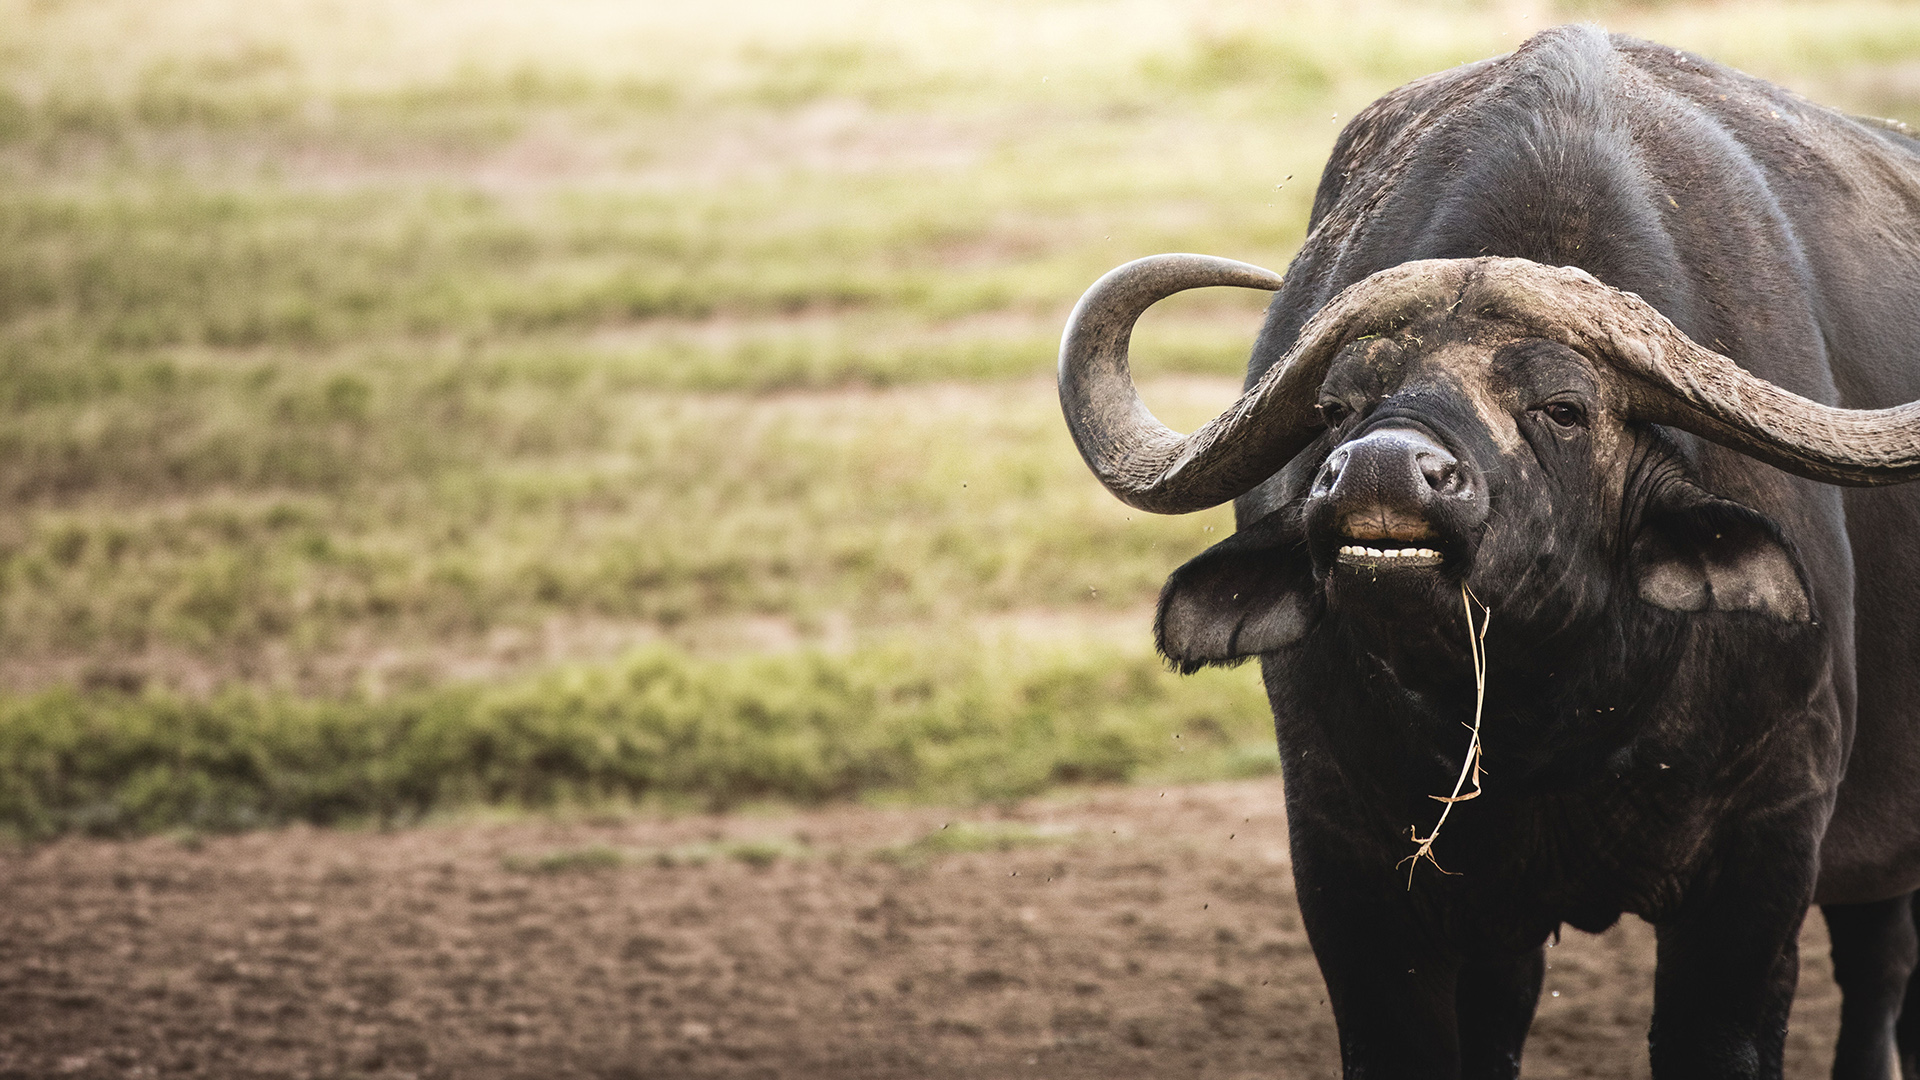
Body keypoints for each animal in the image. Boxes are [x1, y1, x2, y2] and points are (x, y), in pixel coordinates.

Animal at [1058, 25, 1920, 1079]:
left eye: (1562, 406)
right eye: (1337, 407)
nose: (1379, 471)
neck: (1547, 717)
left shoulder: (1764, 851)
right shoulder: (1353, 860)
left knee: (1879, 962)